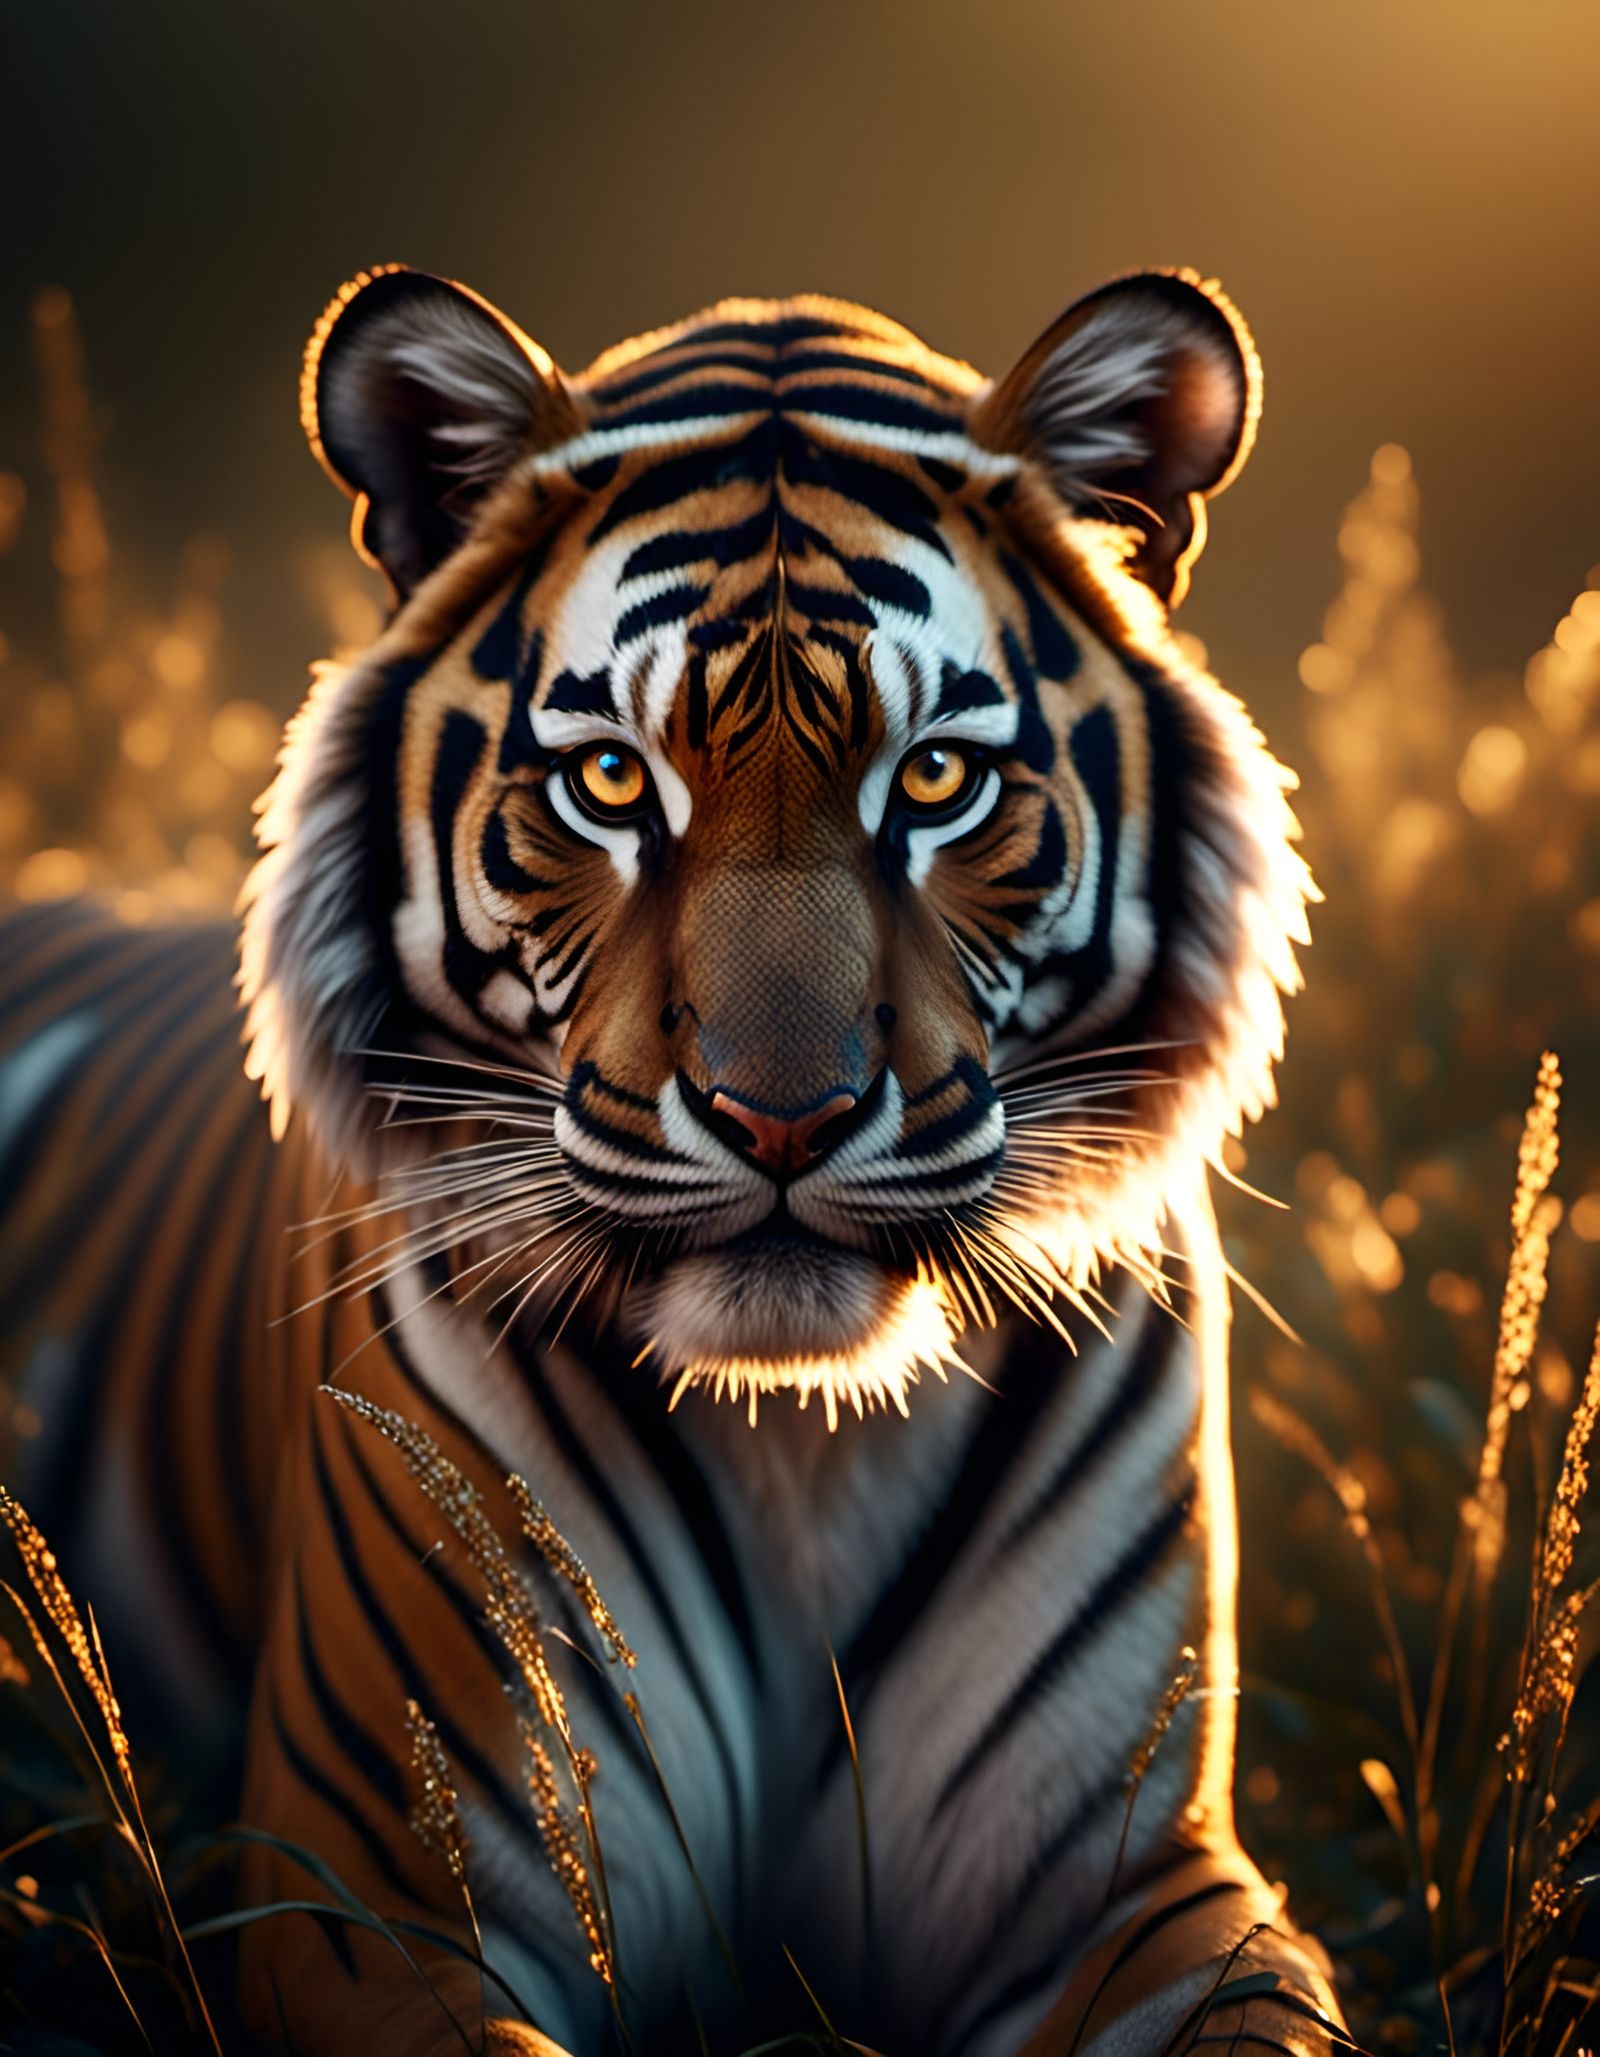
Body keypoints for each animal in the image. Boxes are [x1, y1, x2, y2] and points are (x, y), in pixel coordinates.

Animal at [0, 262, 1347, 2055]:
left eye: (935, 775)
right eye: (610, 781)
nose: (783, 1113)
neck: (805, 1454)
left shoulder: (1129, 1880)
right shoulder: (380, 1899)